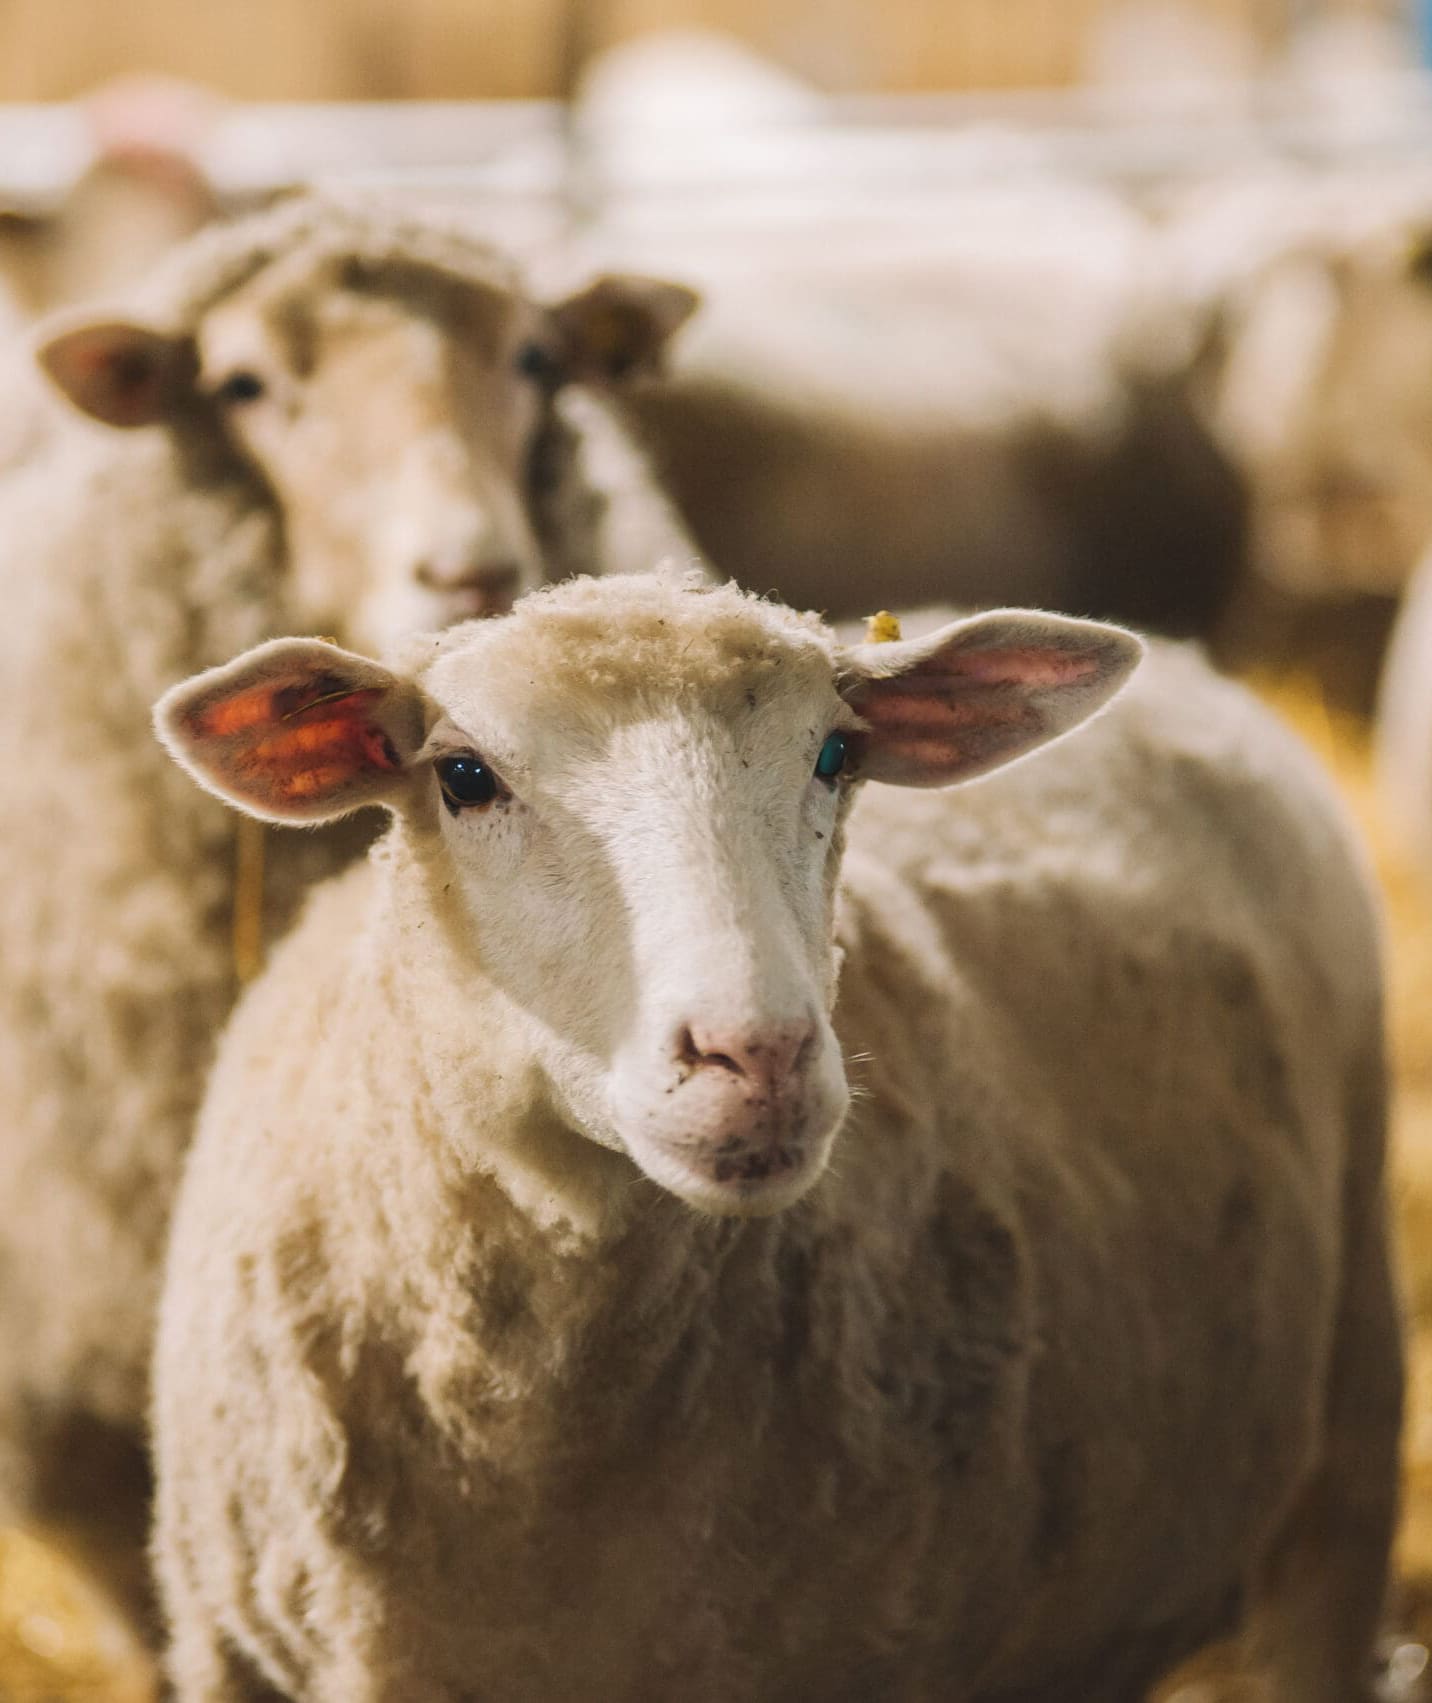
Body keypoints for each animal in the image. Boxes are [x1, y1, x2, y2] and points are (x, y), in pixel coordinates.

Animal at [151, 571, 1400, 1703]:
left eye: (834, 756)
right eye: (464, 775)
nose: (757, 1053)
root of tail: (1194, 666)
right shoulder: (224, 1654)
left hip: (1350, 1429)